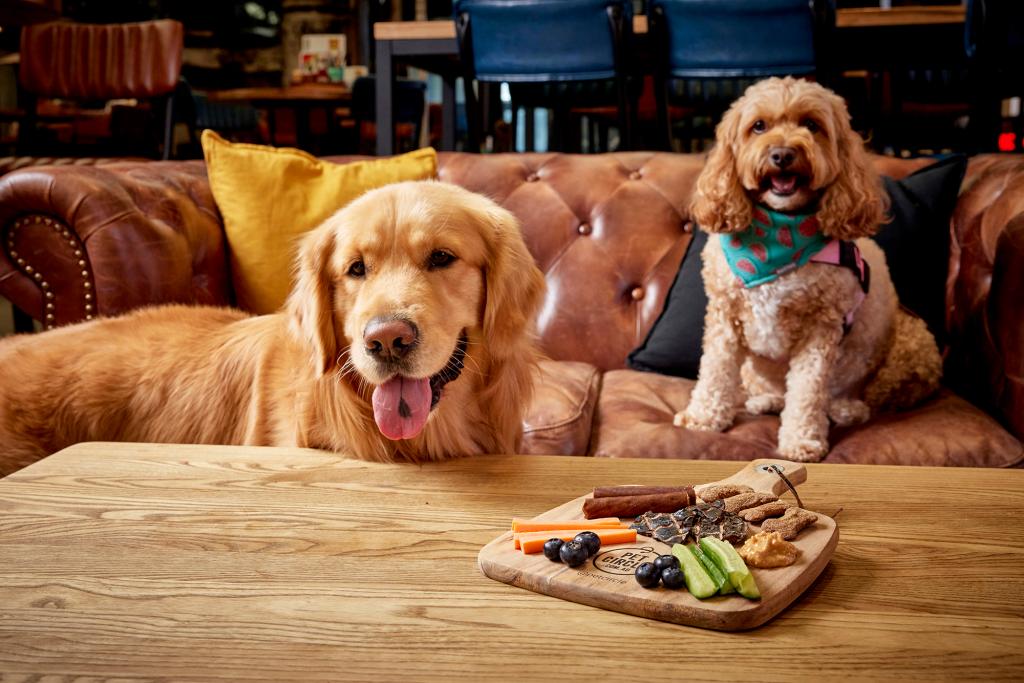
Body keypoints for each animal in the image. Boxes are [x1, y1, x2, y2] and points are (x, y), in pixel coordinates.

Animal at [675, 78, 937, 464]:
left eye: (812, 125)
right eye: (758, 126)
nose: (783, 154)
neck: (779, 236)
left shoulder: (821, 328)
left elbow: (808, 390)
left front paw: (801, 440)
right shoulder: (725, 316)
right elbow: (715, 371)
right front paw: (703, 417)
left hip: (912, 342)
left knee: (860, 393)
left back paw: (846, 408)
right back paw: (767, 400)